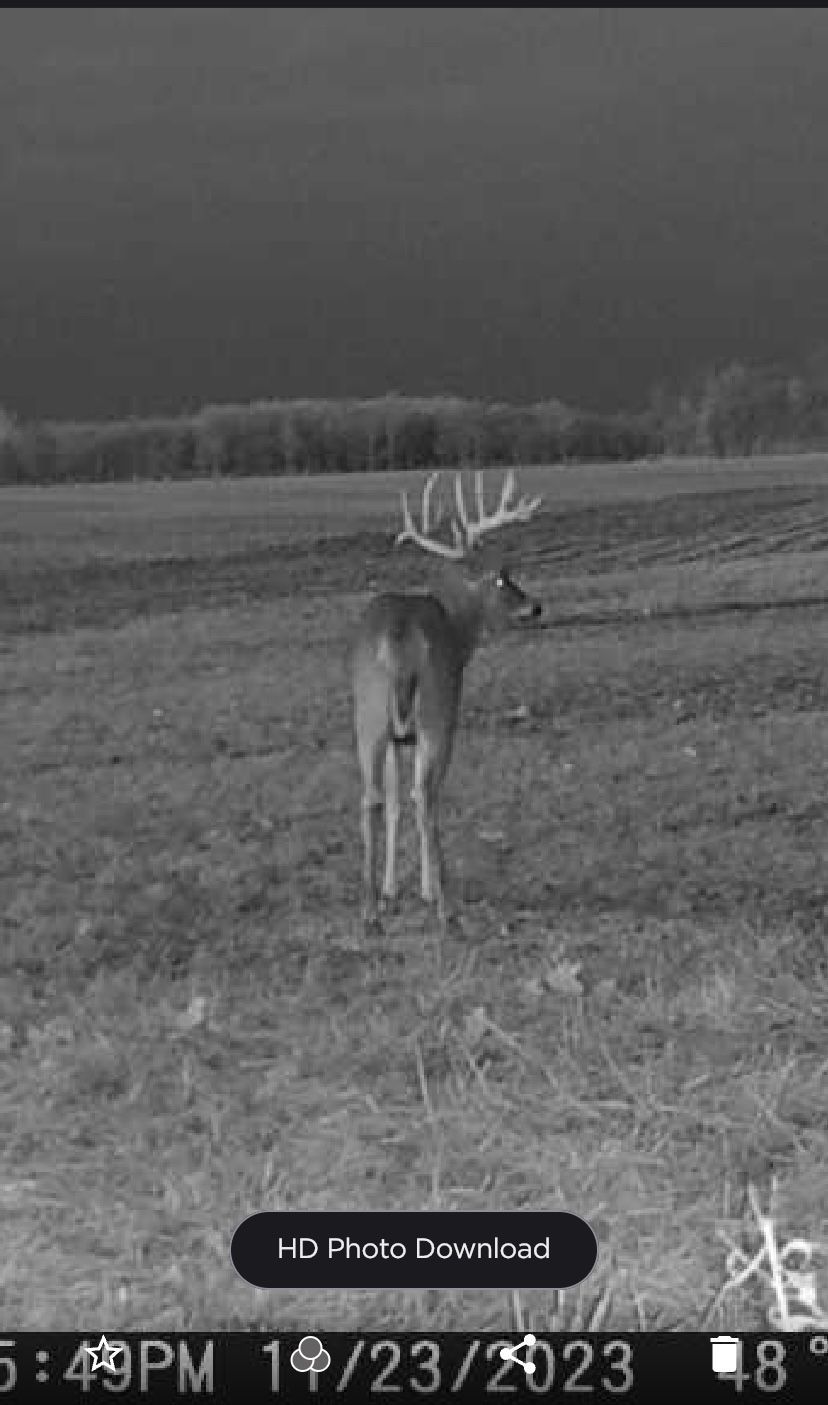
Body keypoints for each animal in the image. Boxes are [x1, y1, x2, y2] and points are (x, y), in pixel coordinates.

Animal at [350, 468, 543, 933]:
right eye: (502, 577)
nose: (536, 606)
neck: (458, 631)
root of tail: (400, 637)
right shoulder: (443, 719)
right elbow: (420, 797)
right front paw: (423, 890)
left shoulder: (399, 737)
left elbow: (394, 802)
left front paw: (390, 893)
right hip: (437, 712)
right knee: (426, 797)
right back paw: (444, 905)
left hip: (369, 715)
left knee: (372, 797)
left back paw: (369, 910)